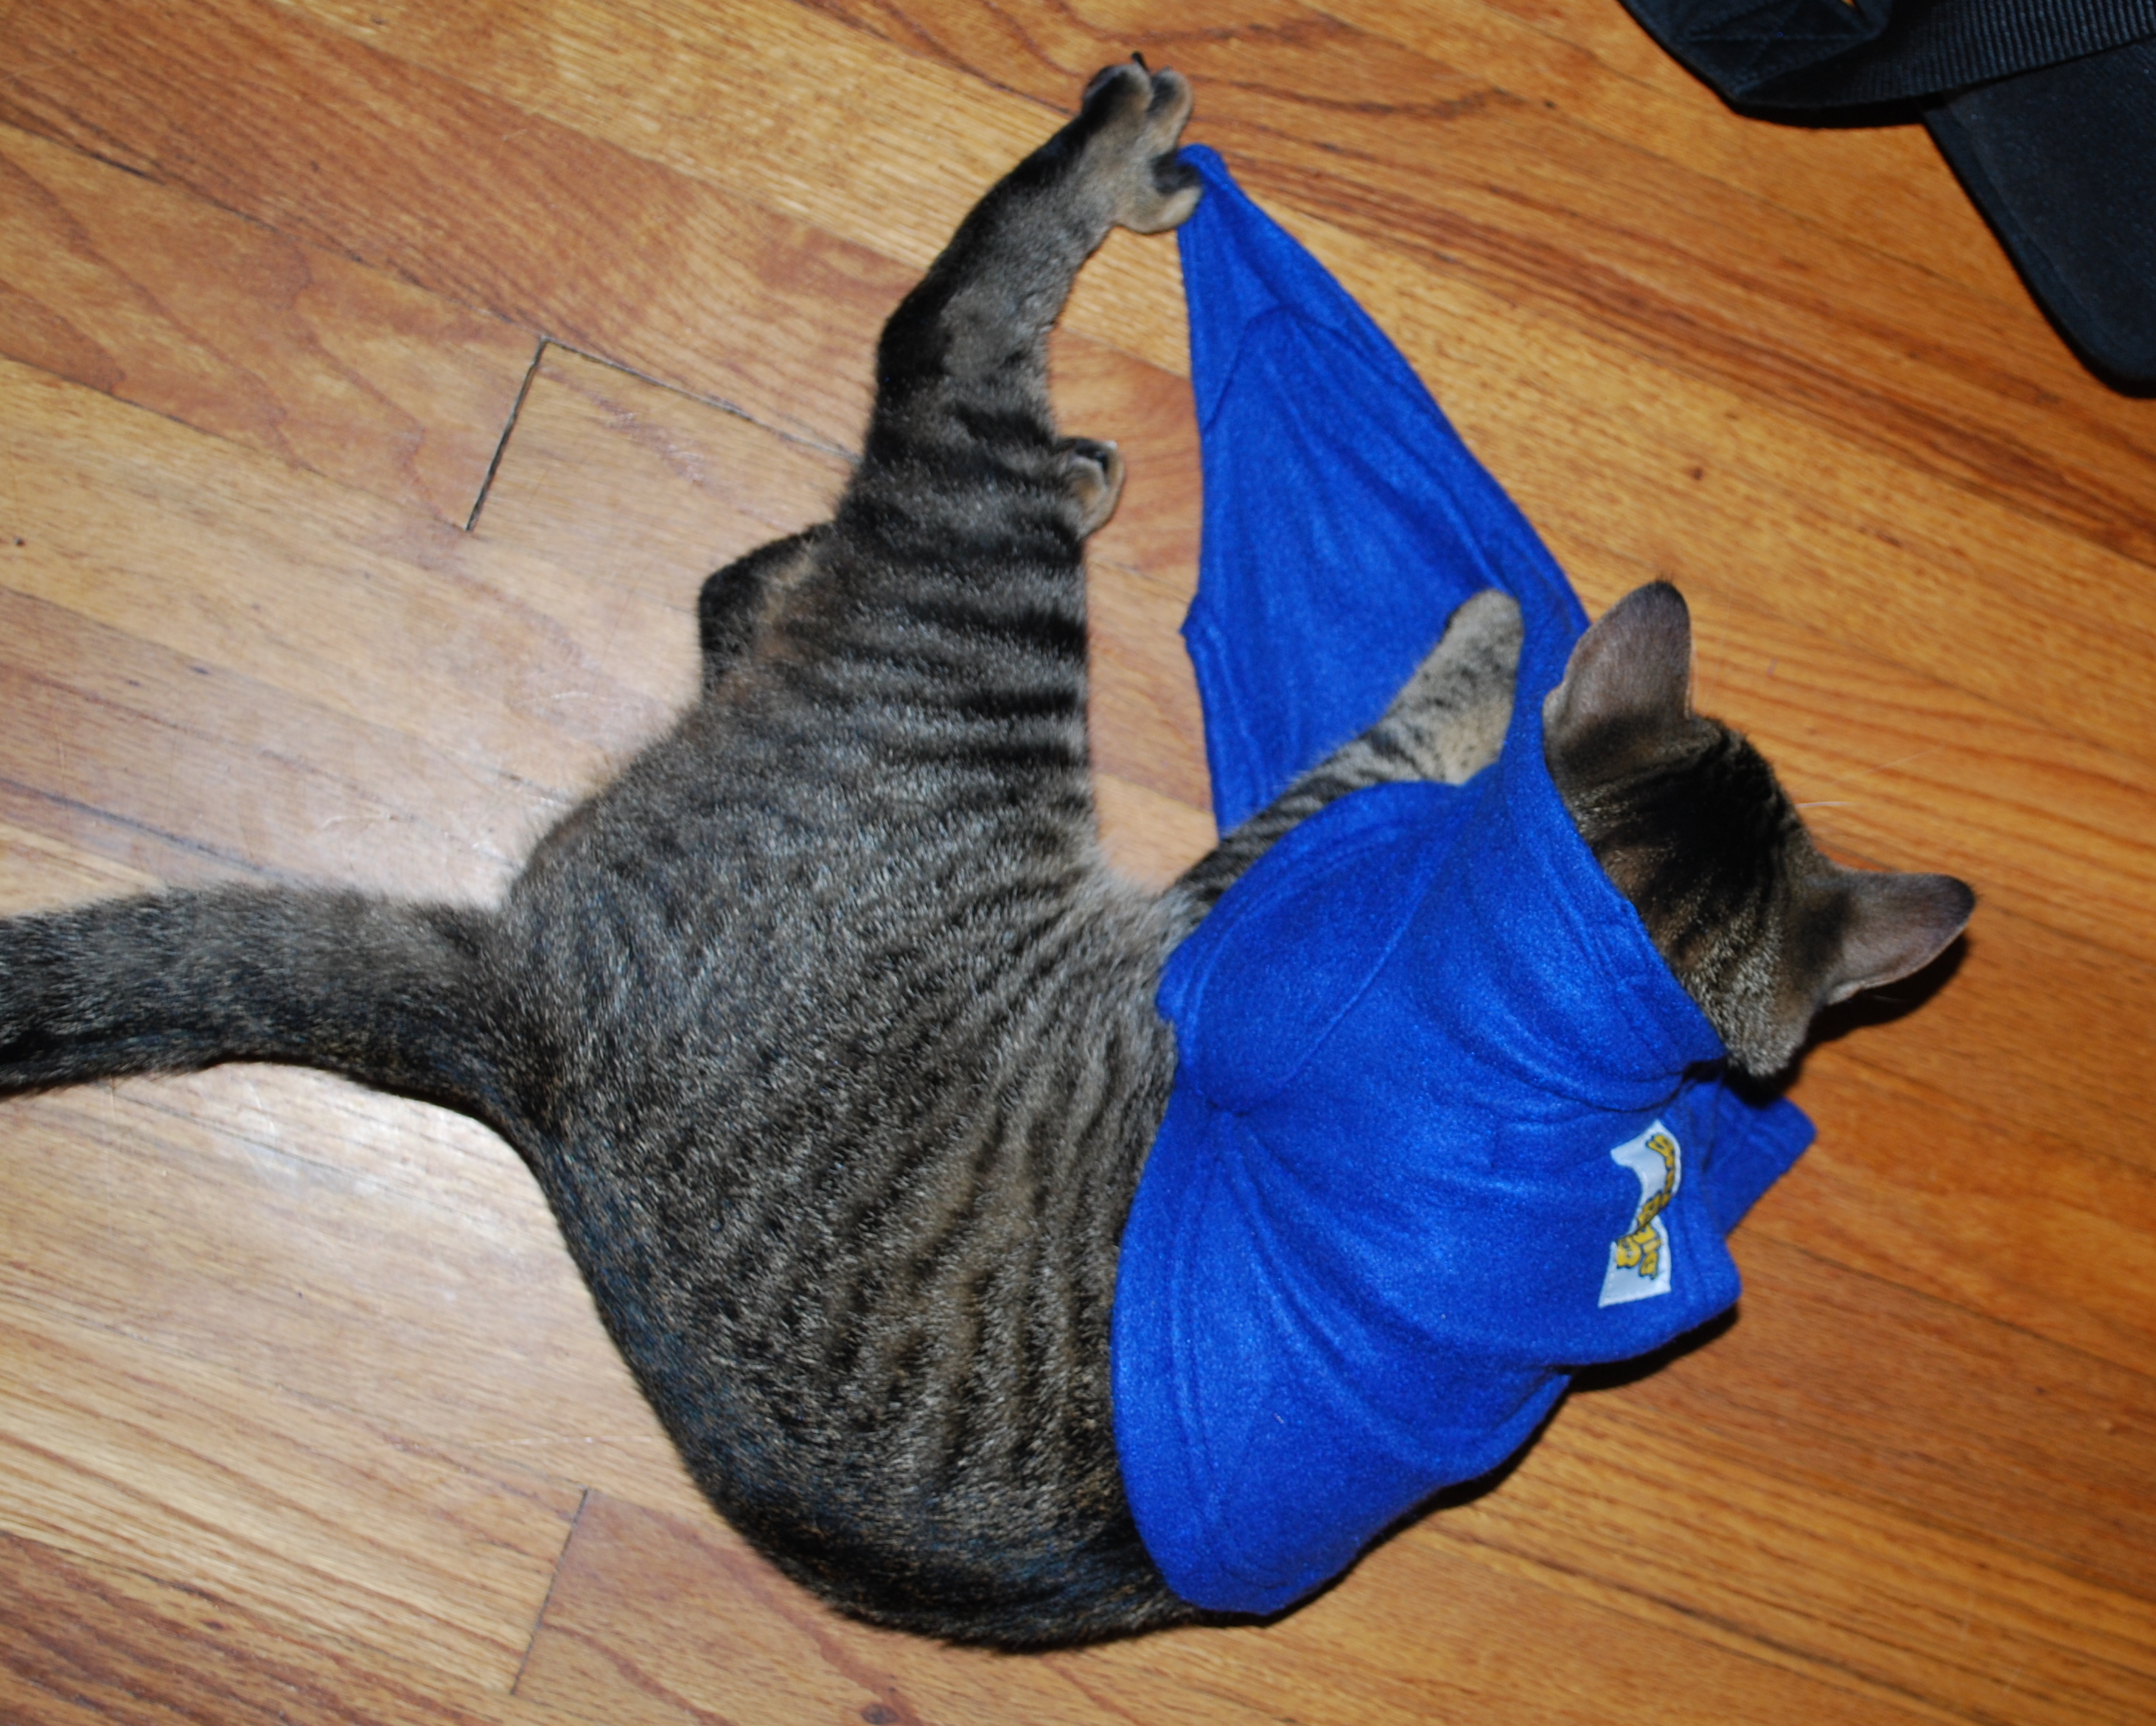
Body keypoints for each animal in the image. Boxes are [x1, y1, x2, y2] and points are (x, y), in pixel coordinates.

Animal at [0, 64, 1972, 1647]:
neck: (1585, 1005)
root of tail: (529, 1020)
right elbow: (1406, 738)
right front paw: (1497, 634)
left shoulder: (1246, 895)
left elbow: (1390, 742)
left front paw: (1487, 648)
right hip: (980, 607)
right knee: (893, 398)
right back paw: (1108, 199)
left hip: (968, 605)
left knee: (911, 389)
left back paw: (1103, 196)